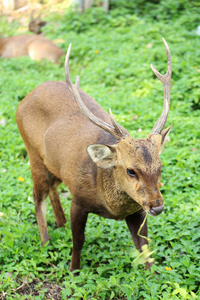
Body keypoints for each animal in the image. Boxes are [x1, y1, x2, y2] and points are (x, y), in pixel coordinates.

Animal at [16, 38, 172, 272]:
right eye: (130, 170)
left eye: (160, 167)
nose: (157, 205)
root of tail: (25, 98)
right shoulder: (79, 200)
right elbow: (78, 241)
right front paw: (73, 271)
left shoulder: (138, 210)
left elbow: (144, 248)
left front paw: (152, 275)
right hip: (33, 154)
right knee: (37, 196)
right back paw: (46, 243)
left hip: (54, 165)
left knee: (52, 188)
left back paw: (60, 224)